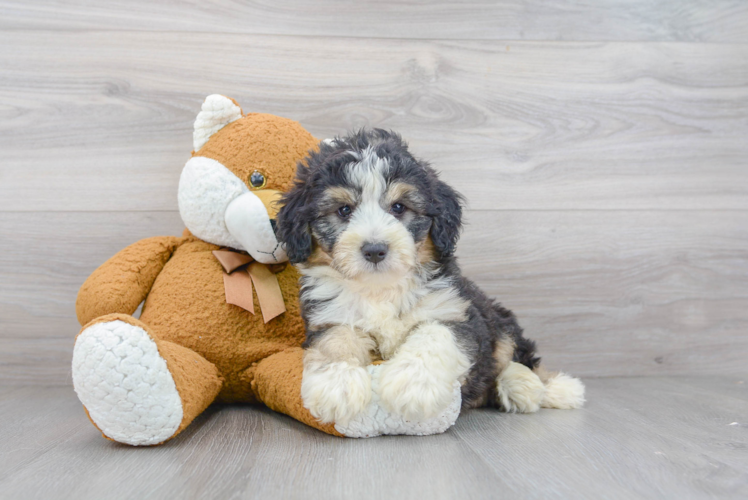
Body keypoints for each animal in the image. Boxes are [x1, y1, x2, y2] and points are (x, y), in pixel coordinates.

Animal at [274, 130, 584, 426]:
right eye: (344, 210)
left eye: (399, 207)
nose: (374, 250)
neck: (381, 289)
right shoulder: (329, 316)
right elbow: (337, 341)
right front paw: (337, 385)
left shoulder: (453, 311)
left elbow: (434, 334)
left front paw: (413, 385)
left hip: (498, 318)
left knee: (518, 356)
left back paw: (550, 388)